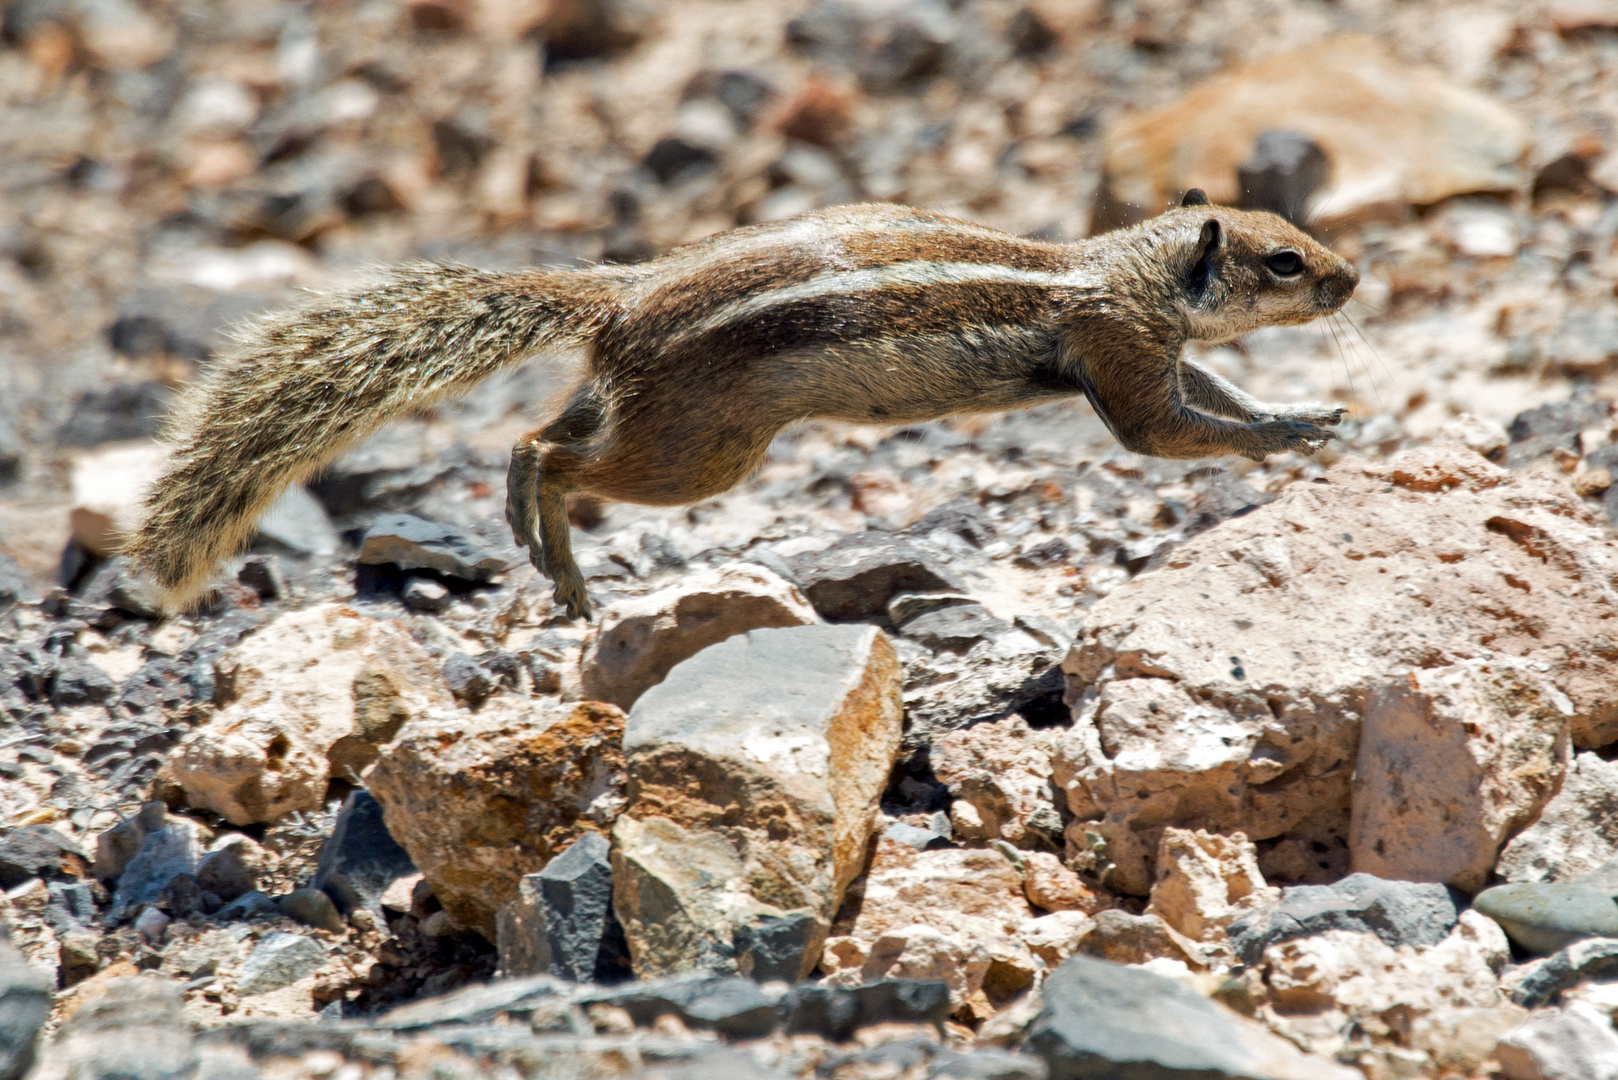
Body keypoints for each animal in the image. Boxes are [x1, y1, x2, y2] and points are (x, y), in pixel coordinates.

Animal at [132, 190, 1359, 621]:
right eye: (1284, 260)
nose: (1354, 278)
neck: (1120, 269)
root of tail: (621, 296)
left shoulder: (1150, 350)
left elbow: (1207, 392)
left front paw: (1299, 407)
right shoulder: (1118, 350)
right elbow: (1166, 432)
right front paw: (1292, 429)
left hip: (654, 412)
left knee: (544, 432)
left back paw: (532, 534)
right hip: (703, 451)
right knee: (556, 458)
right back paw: (560, 561)